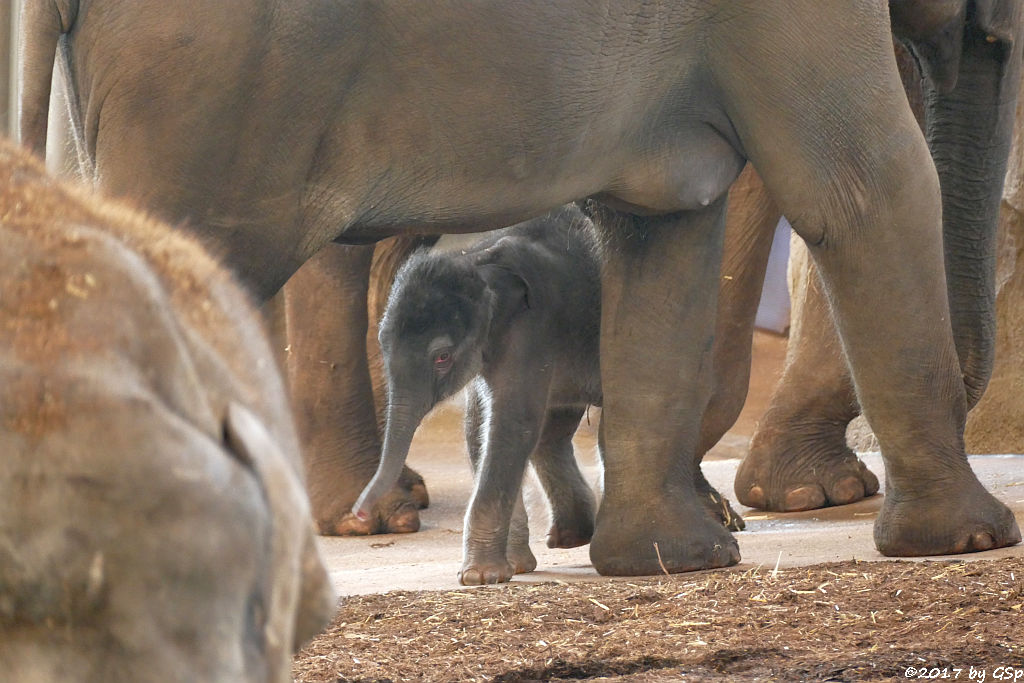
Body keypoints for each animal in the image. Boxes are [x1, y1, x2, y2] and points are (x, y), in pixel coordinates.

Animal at [356, 205, 602, 585]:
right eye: (382, 344)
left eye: (442, 357)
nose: (361, 515)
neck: (477, 258)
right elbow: (478, 427)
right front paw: (514, 567)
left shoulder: (534, 330)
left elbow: (511, 423)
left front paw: (478, 577)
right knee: (554, 431)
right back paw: (570, 537)